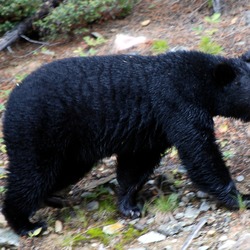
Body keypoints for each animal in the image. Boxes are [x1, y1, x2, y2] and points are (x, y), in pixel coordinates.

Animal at [1, 49, 250, 235]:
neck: (202, 83)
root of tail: (10, 101)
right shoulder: (178, 105)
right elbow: (200, 154)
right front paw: (240, 197)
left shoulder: (153, 129)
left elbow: (137, 164)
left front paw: (128, 205)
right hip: (38, 131)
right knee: (32, 175)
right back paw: (25, 224)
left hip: (71, 150)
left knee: (61, 173)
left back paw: (52, 198)